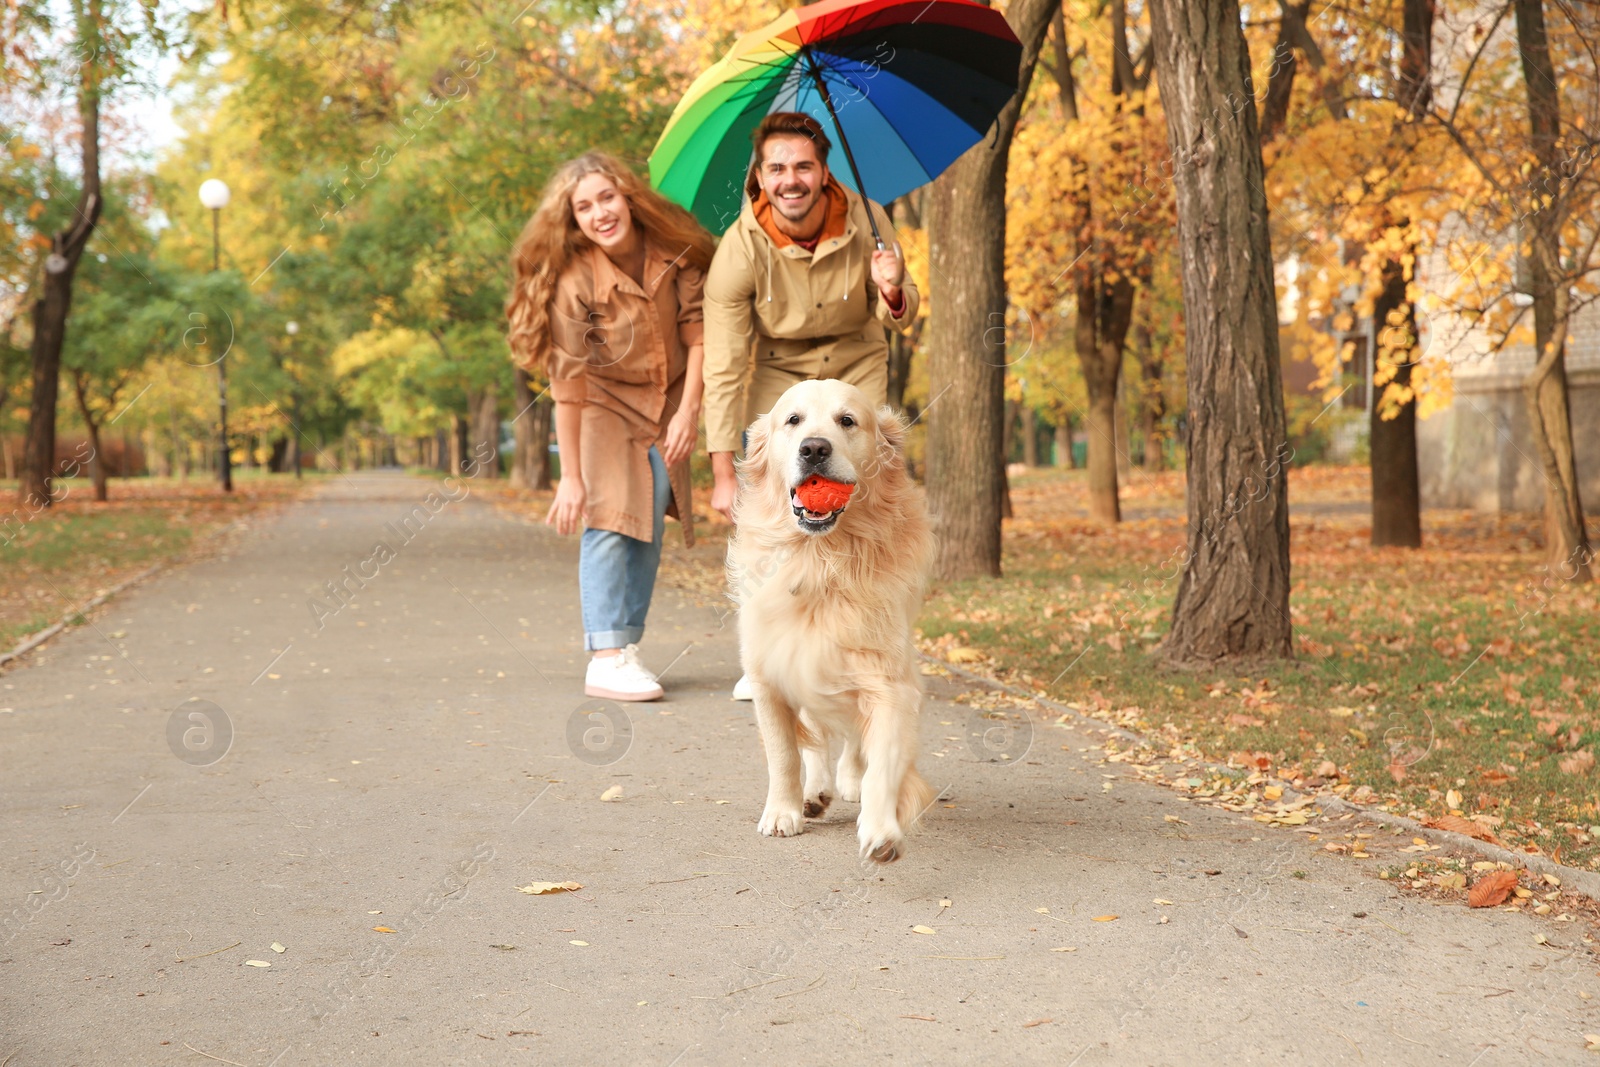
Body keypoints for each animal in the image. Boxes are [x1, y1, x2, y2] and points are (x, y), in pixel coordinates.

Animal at [729, 379, 934, 863]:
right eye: (793, 420)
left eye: (847, 421)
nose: (815, 448)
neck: (821, 561)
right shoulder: (772, 671)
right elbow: (784, 753)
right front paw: (782, 812)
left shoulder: (888, 679)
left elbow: (881, 759)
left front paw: (881, 829)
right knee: (816, 736)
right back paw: (815, 792)